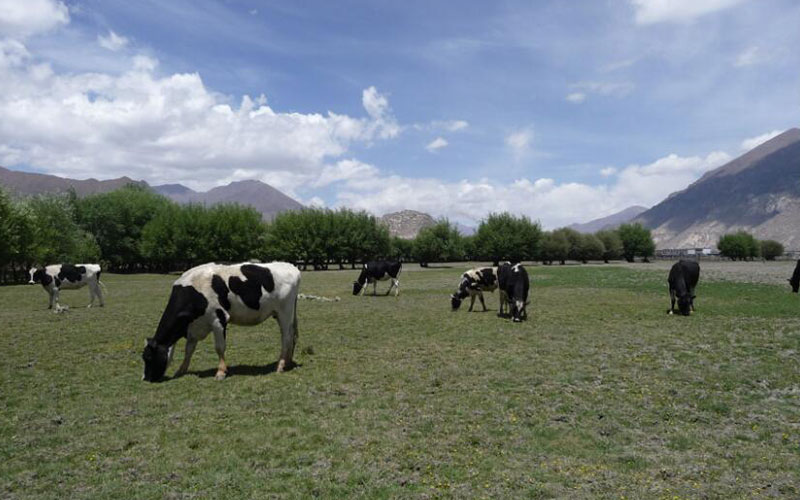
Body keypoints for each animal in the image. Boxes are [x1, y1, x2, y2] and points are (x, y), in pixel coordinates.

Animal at [141, 262, 300, 382]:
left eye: (148, 357)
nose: (146, 379)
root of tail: (291, 266)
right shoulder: (193, 327)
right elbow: (188, 350)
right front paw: (181, 370)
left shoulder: (219, 319)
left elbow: (219, 347)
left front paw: (221, 372)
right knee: (292, 336)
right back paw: (288, 362)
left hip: (284, 312)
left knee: (286, 337)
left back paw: (280, 365)